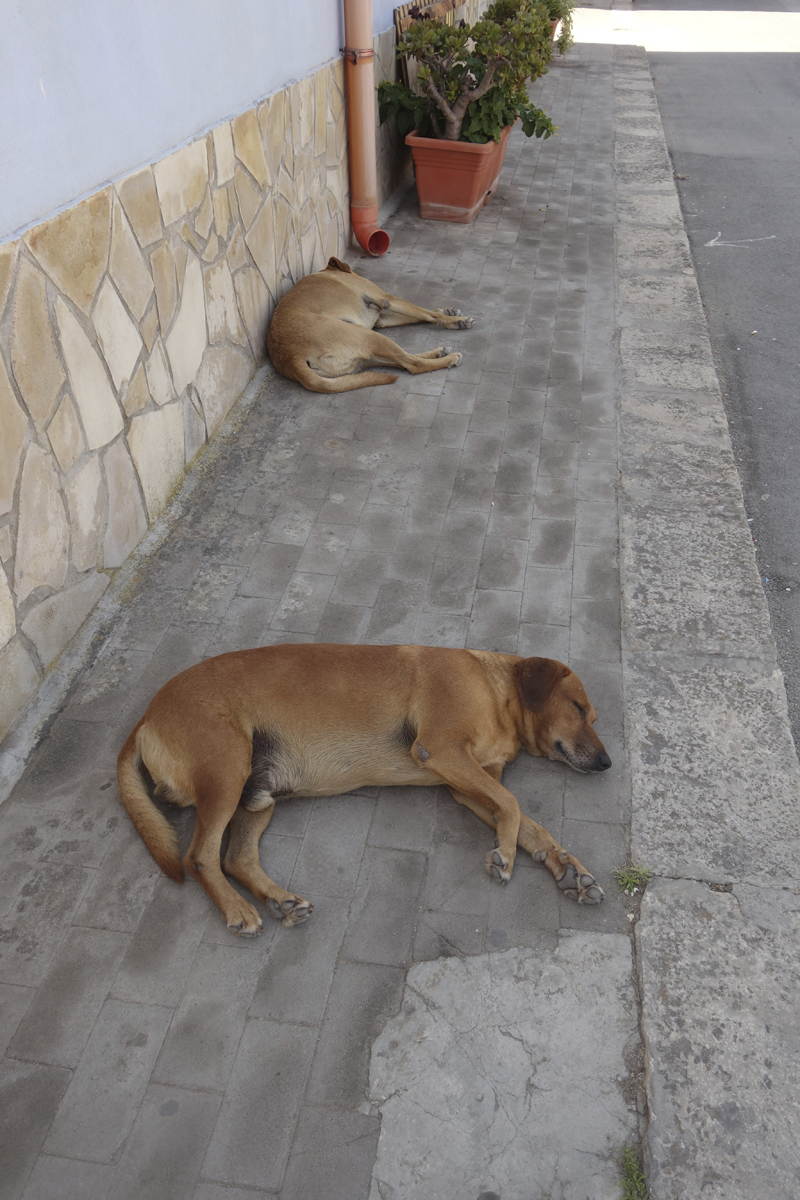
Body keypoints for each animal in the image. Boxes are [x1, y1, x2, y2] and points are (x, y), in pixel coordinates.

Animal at [117, 648, 614, 936]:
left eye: (591, 714)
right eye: (578, 708)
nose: (608, 764)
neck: (494, 688)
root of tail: (145, 717)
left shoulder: (468, 786)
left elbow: (528, 822)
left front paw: (566, 866)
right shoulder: (443, 751)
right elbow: (512, 805)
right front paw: (506, 855)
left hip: (257, 794)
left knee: (236, 857)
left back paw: (280, 900)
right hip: (227, 769)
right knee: (200, 856)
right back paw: (238, 910)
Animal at [266, 255, 472, 391]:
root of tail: (291, 358)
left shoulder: (380, 319)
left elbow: (420, 314)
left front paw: (447, 312)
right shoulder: (386, 299)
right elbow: (425, 313)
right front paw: (455, 321)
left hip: (365, 352)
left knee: (402, 362)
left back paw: (438, 352)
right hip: (368, 336)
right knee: (413, 364)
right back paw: (448, 358)